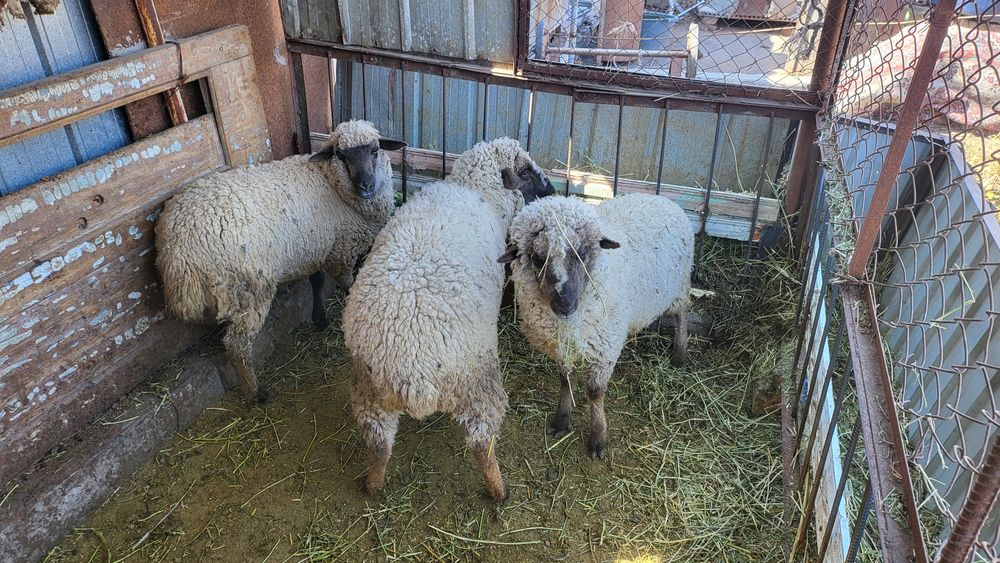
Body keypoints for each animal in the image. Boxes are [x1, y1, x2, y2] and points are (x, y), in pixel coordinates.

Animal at [155, 120, 405, 403]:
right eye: (342, 156)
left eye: (375, 150)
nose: (366, 186)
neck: (330, 181)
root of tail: (176, 251)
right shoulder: (340, 251)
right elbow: (348, 285)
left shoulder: (314, 248)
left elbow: (316, 282)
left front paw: (319, 319)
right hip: (249, 288)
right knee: (237, 344)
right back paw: (256, 392)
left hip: (228, 290)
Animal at [342, 137, 554, 501]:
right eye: (525, 171)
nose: (552, 190)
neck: (474, 189)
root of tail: (413, 375)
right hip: (478, 383)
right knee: (482, 444)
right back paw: (499, 491)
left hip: (369, 393)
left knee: (379, 445)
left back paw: (373, 485)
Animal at [498, 193, 694, 459]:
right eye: (537, 259)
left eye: (581, 252)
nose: (565, 305)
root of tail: (660, 198)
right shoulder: (563, 347)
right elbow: (566, 380)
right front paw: (561, 420)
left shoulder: (604, 350)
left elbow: (595, 392)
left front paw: (599, 438)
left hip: (679, 288)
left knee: (683, 313)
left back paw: (679, 354)